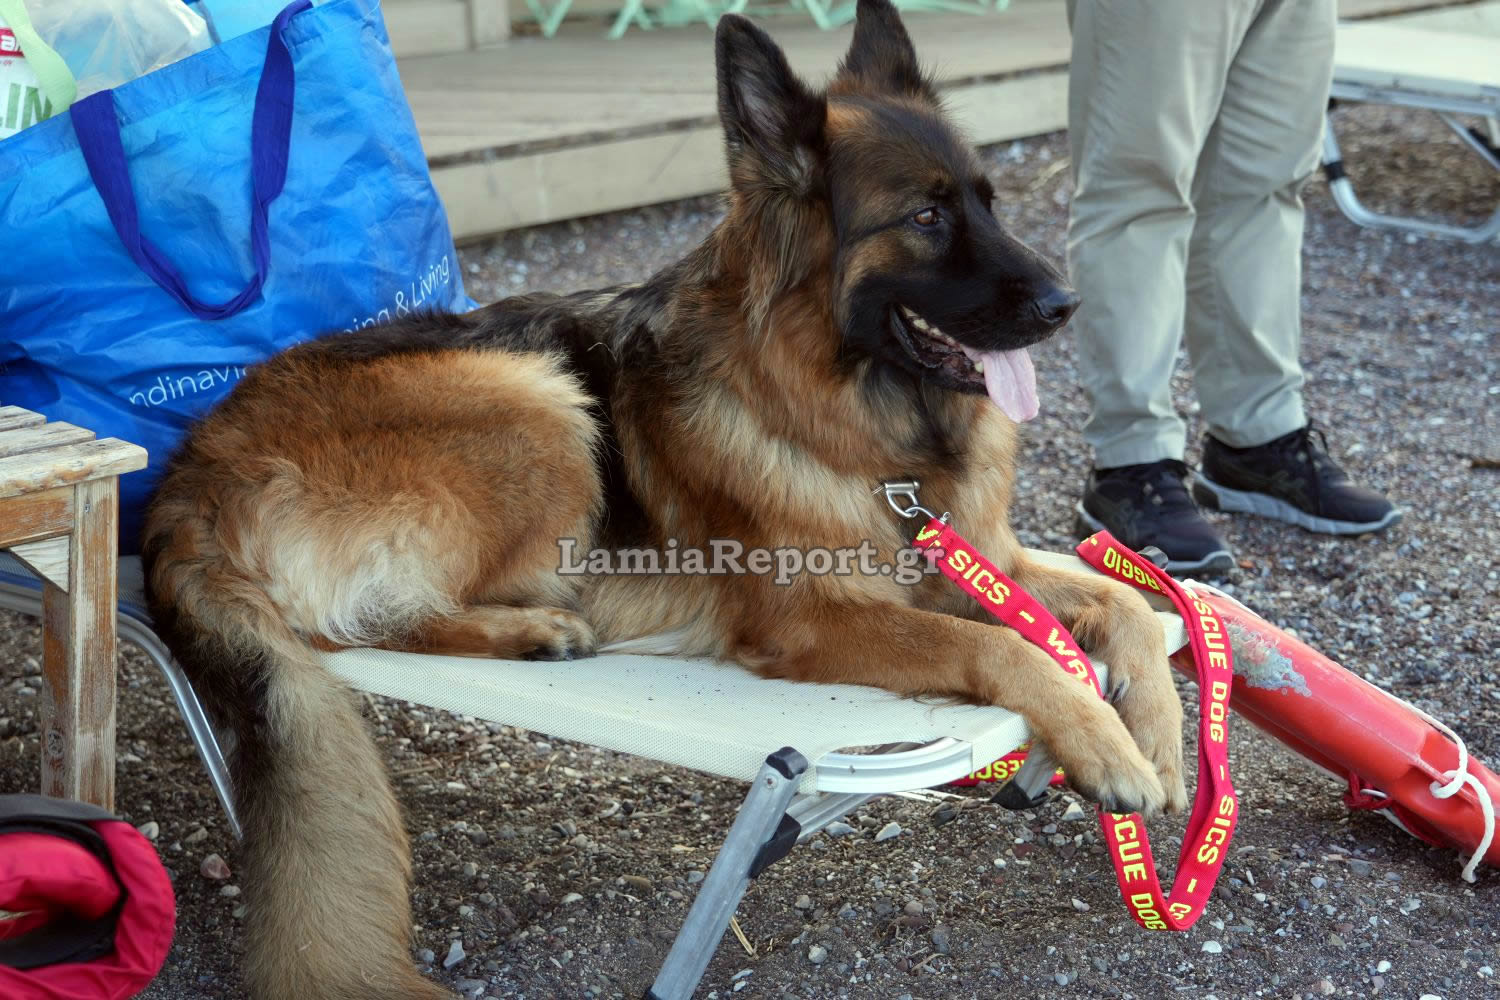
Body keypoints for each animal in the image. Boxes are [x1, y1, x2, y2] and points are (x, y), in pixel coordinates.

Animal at [146, 3, 1188, 995]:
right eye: (927, 216)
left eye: (987, 201)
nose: (1065, 304)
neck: (855, 416)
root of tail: (191, 465)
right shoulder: (811, 619)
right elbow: (1006, 646)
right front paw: (1105, 744)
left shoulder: (985, 560)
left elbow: (1131, 602)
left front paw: (1162, 741)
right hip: (534, 398)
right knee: (357, 628)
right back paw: (530, 629)